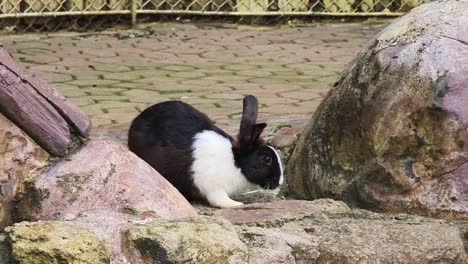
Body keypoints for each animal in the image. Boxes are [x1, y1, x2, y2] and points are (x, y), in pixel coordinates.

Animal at [126, 95, 284, 208]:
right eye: (266, 159)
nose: (280, 182)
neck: (235, 161)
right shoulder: (213, 187)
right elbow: (219, 200)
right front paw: (236, 204)